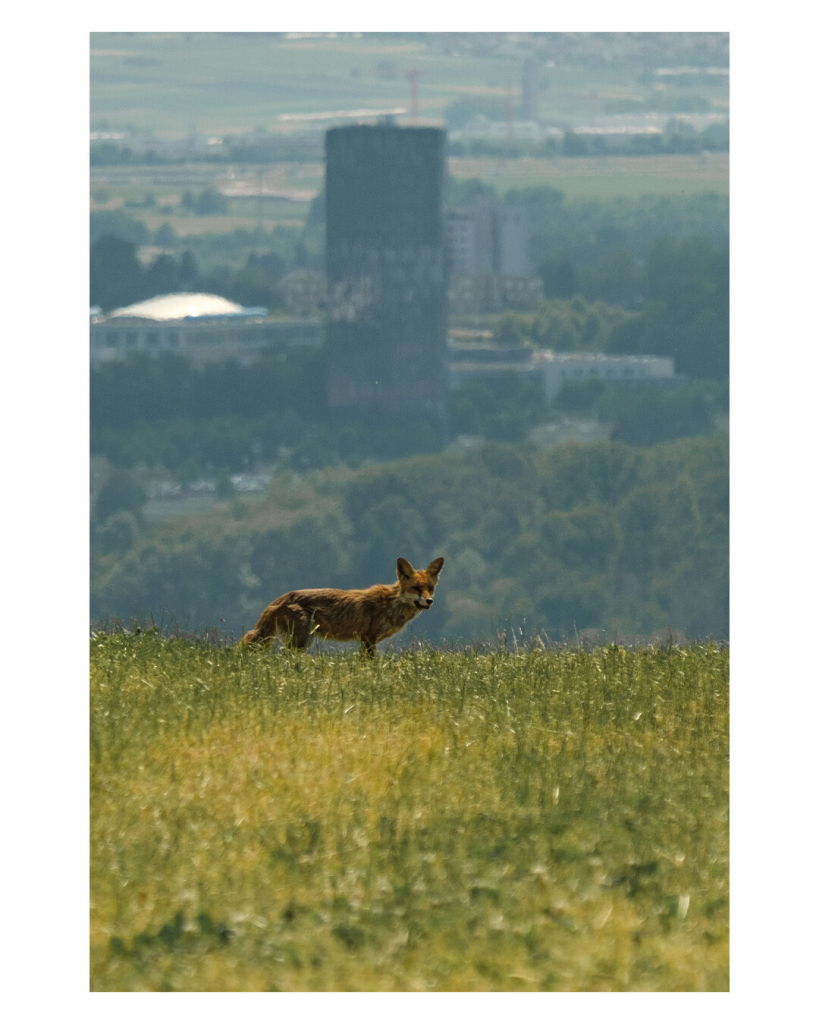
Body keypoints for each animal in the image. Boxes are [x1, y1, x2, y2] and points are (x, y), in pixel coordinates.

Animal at [238, 561, 442, 655]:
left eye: (430, 588)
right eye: (416, 588)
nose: (429, 601)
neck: (390, 605)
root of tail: (280, 598)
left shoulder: (367, 640)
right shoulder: (368, 639)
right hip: (303, 640)